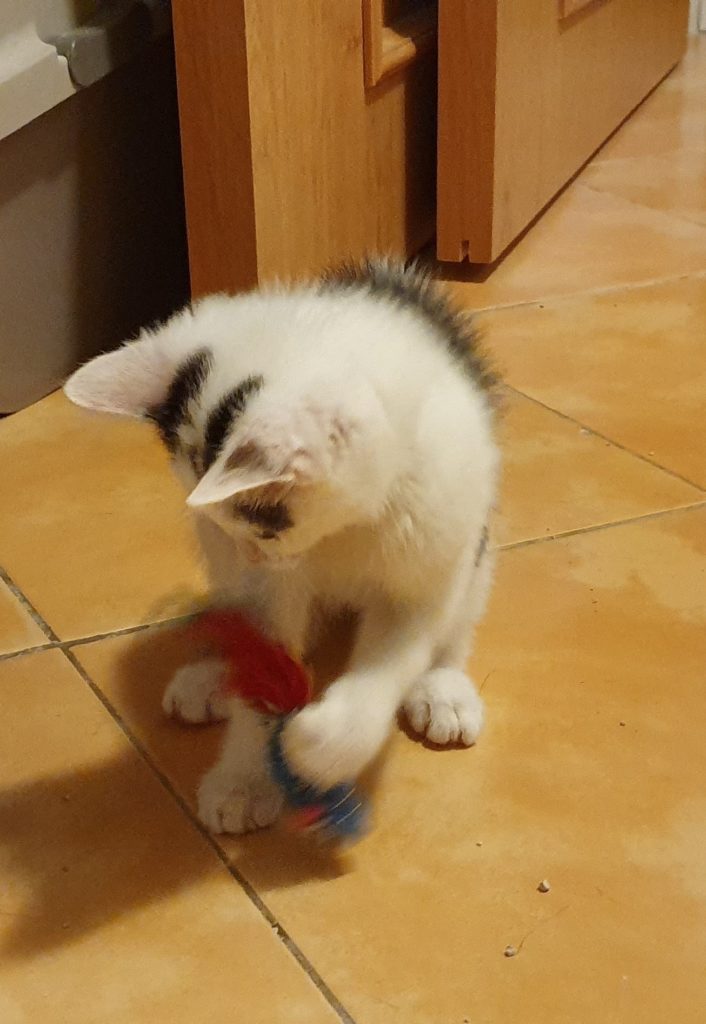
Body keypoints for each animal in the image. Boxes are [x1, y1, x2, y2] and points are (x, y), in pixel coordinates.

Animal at [64, 259, 500, 835]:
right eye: (221, 527)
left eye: (266, 526)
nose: (250, 558)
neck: (345, 533)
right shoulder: (259, 585)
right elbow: (262, 650)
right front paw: (244, 780)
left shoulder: (429, 550)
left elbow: (394, 654)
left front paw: (322, 746)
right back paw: (210, 677)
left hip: (477, 538)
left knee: (460, 616)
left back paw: (443, 687)